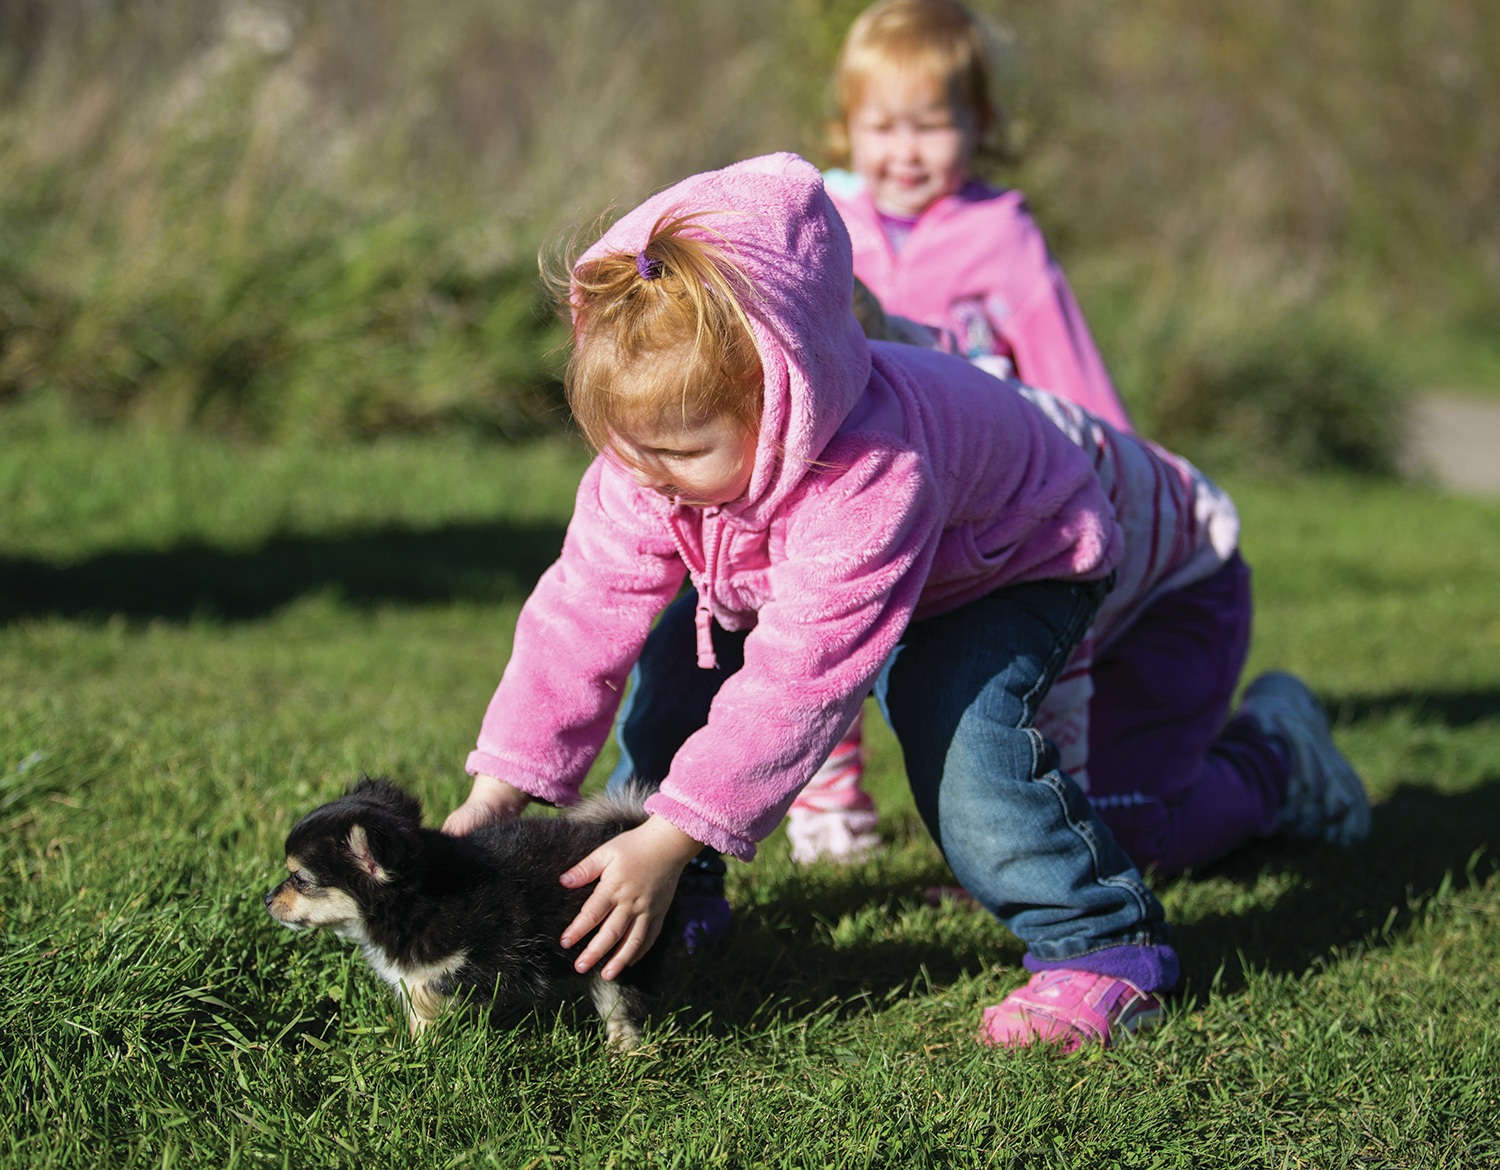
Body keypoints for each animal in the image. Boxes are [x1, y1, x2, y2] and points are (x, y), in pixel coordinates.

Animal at [264, 780, 675, 1044]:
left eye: (299, 879)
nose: (267, 899)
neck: (418, 899)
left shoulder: (487, 957)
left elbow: (430, 987)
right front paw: (417, 1051)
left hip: (619, 953)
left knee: (621, 1009)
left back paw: (624, 1054)